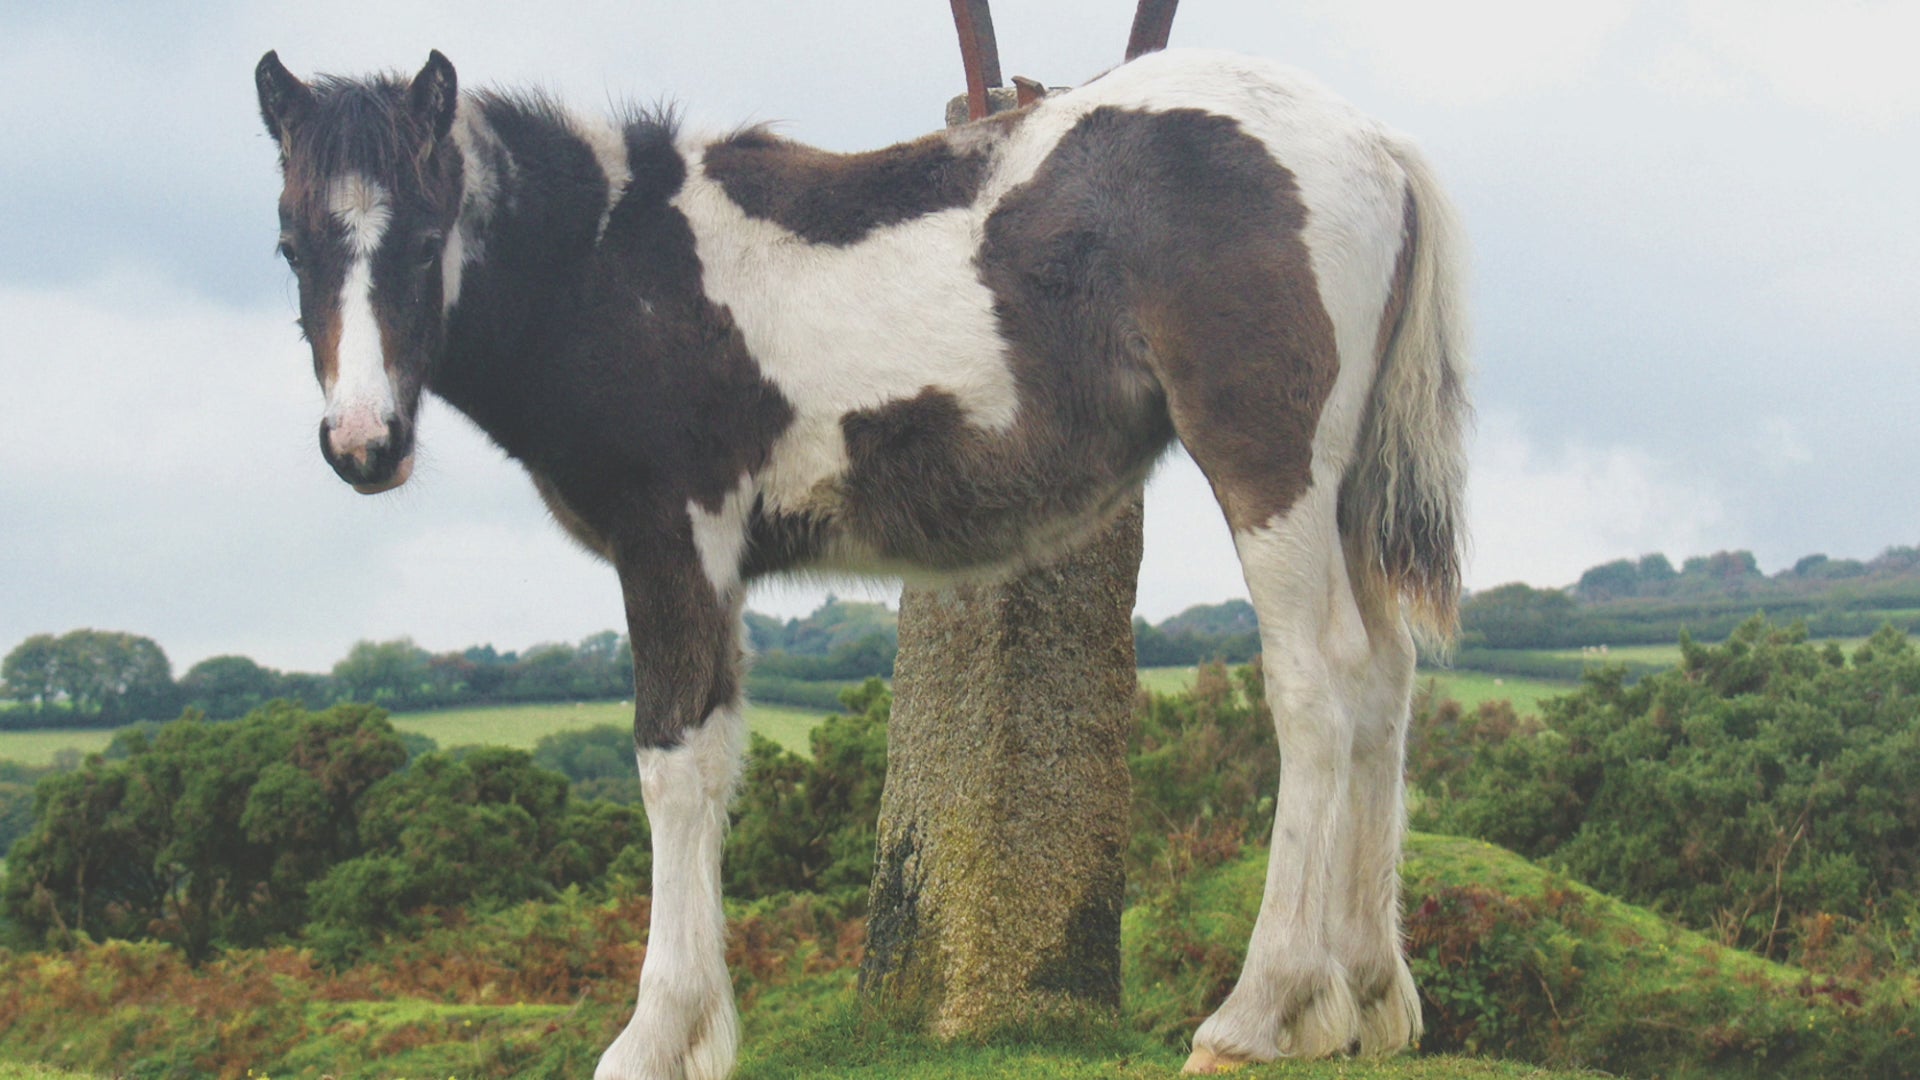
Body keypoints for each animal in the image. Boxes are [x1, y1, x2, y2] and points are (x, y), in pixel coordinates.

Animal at [254, 45, 1468, 1079]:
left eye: (426, 240)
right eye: (291, 248)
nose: (363, 445)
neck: (614, 268)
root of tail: (1375, 144)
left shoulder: (673, 544)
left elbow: (673, 769)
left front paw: (655, 1038)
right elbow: (713, 764)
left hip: (1270, 470)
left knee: (1314, 692)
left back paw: (1259, 1011)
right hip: (1345, 494)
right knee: (1383, 684)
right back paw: (1366, 998)